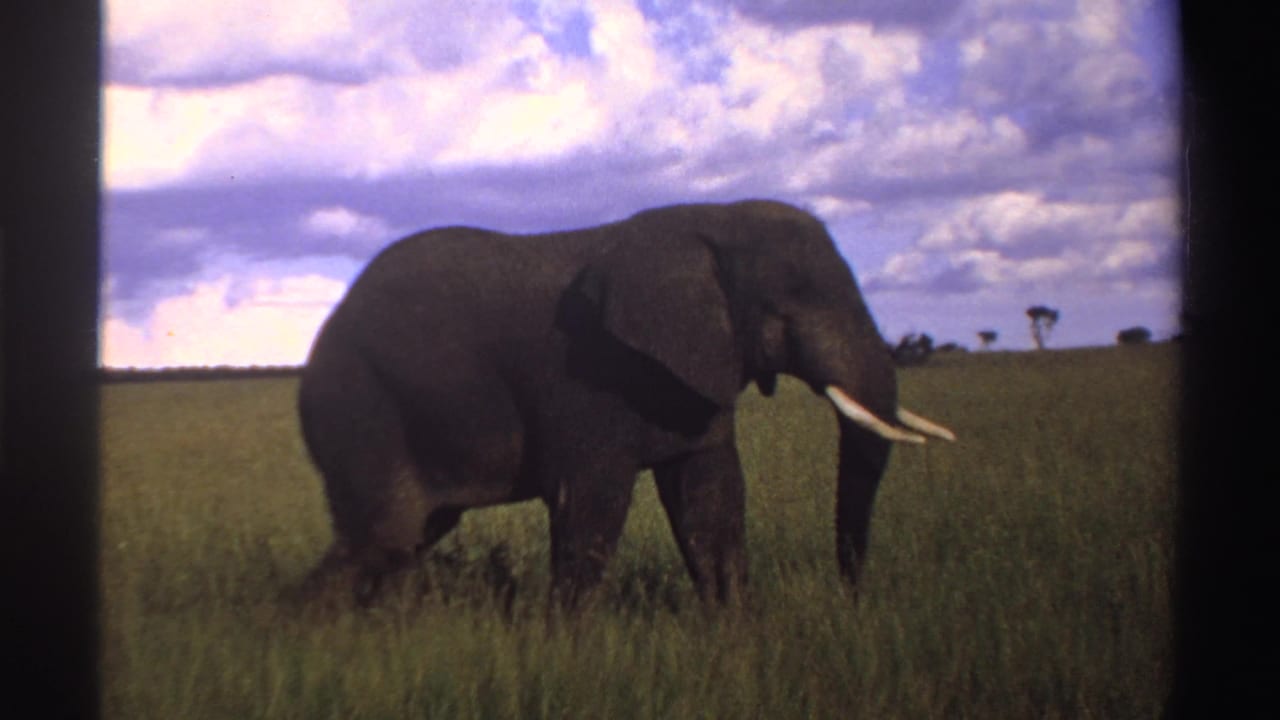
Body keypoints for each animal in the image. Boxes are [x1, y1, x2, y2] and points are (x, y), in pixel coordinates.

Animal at [296, 199, 954, 610]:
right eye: (792, 301)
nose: (851, 598)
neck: (712, 220)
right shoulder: (586, 375)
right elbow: (593, 503)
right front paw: (567, 651)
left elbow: (710, 497)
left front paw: (736, 635)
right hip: (360, 403)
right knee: (385, 534)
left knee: (404, 538)